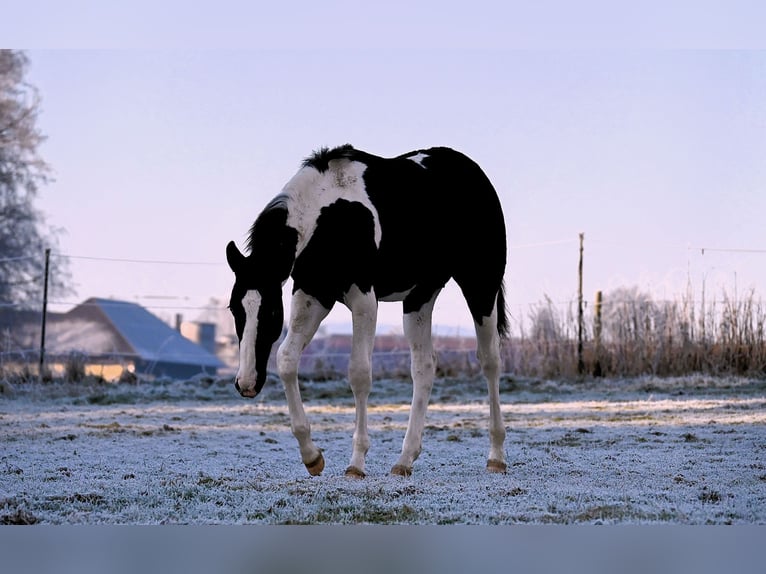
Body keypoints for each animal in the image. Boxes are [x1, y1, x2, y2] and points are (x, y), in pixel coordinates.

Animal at [226, 146, 510, 480]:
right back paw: (405, 459)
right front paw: (312, 456)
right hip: (419, 297)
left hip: (481, 287)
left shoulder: (363, 301)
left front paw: (356, 463)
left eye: (270, 312)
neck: (330, 215)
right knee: (424, 367)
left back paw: (496, 456)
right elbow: (286, 359)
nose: (246, 384)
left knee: (490, 361)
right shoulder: (313, 295)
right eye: (234, 309)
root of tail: (470, 170)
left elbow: (359, 373)